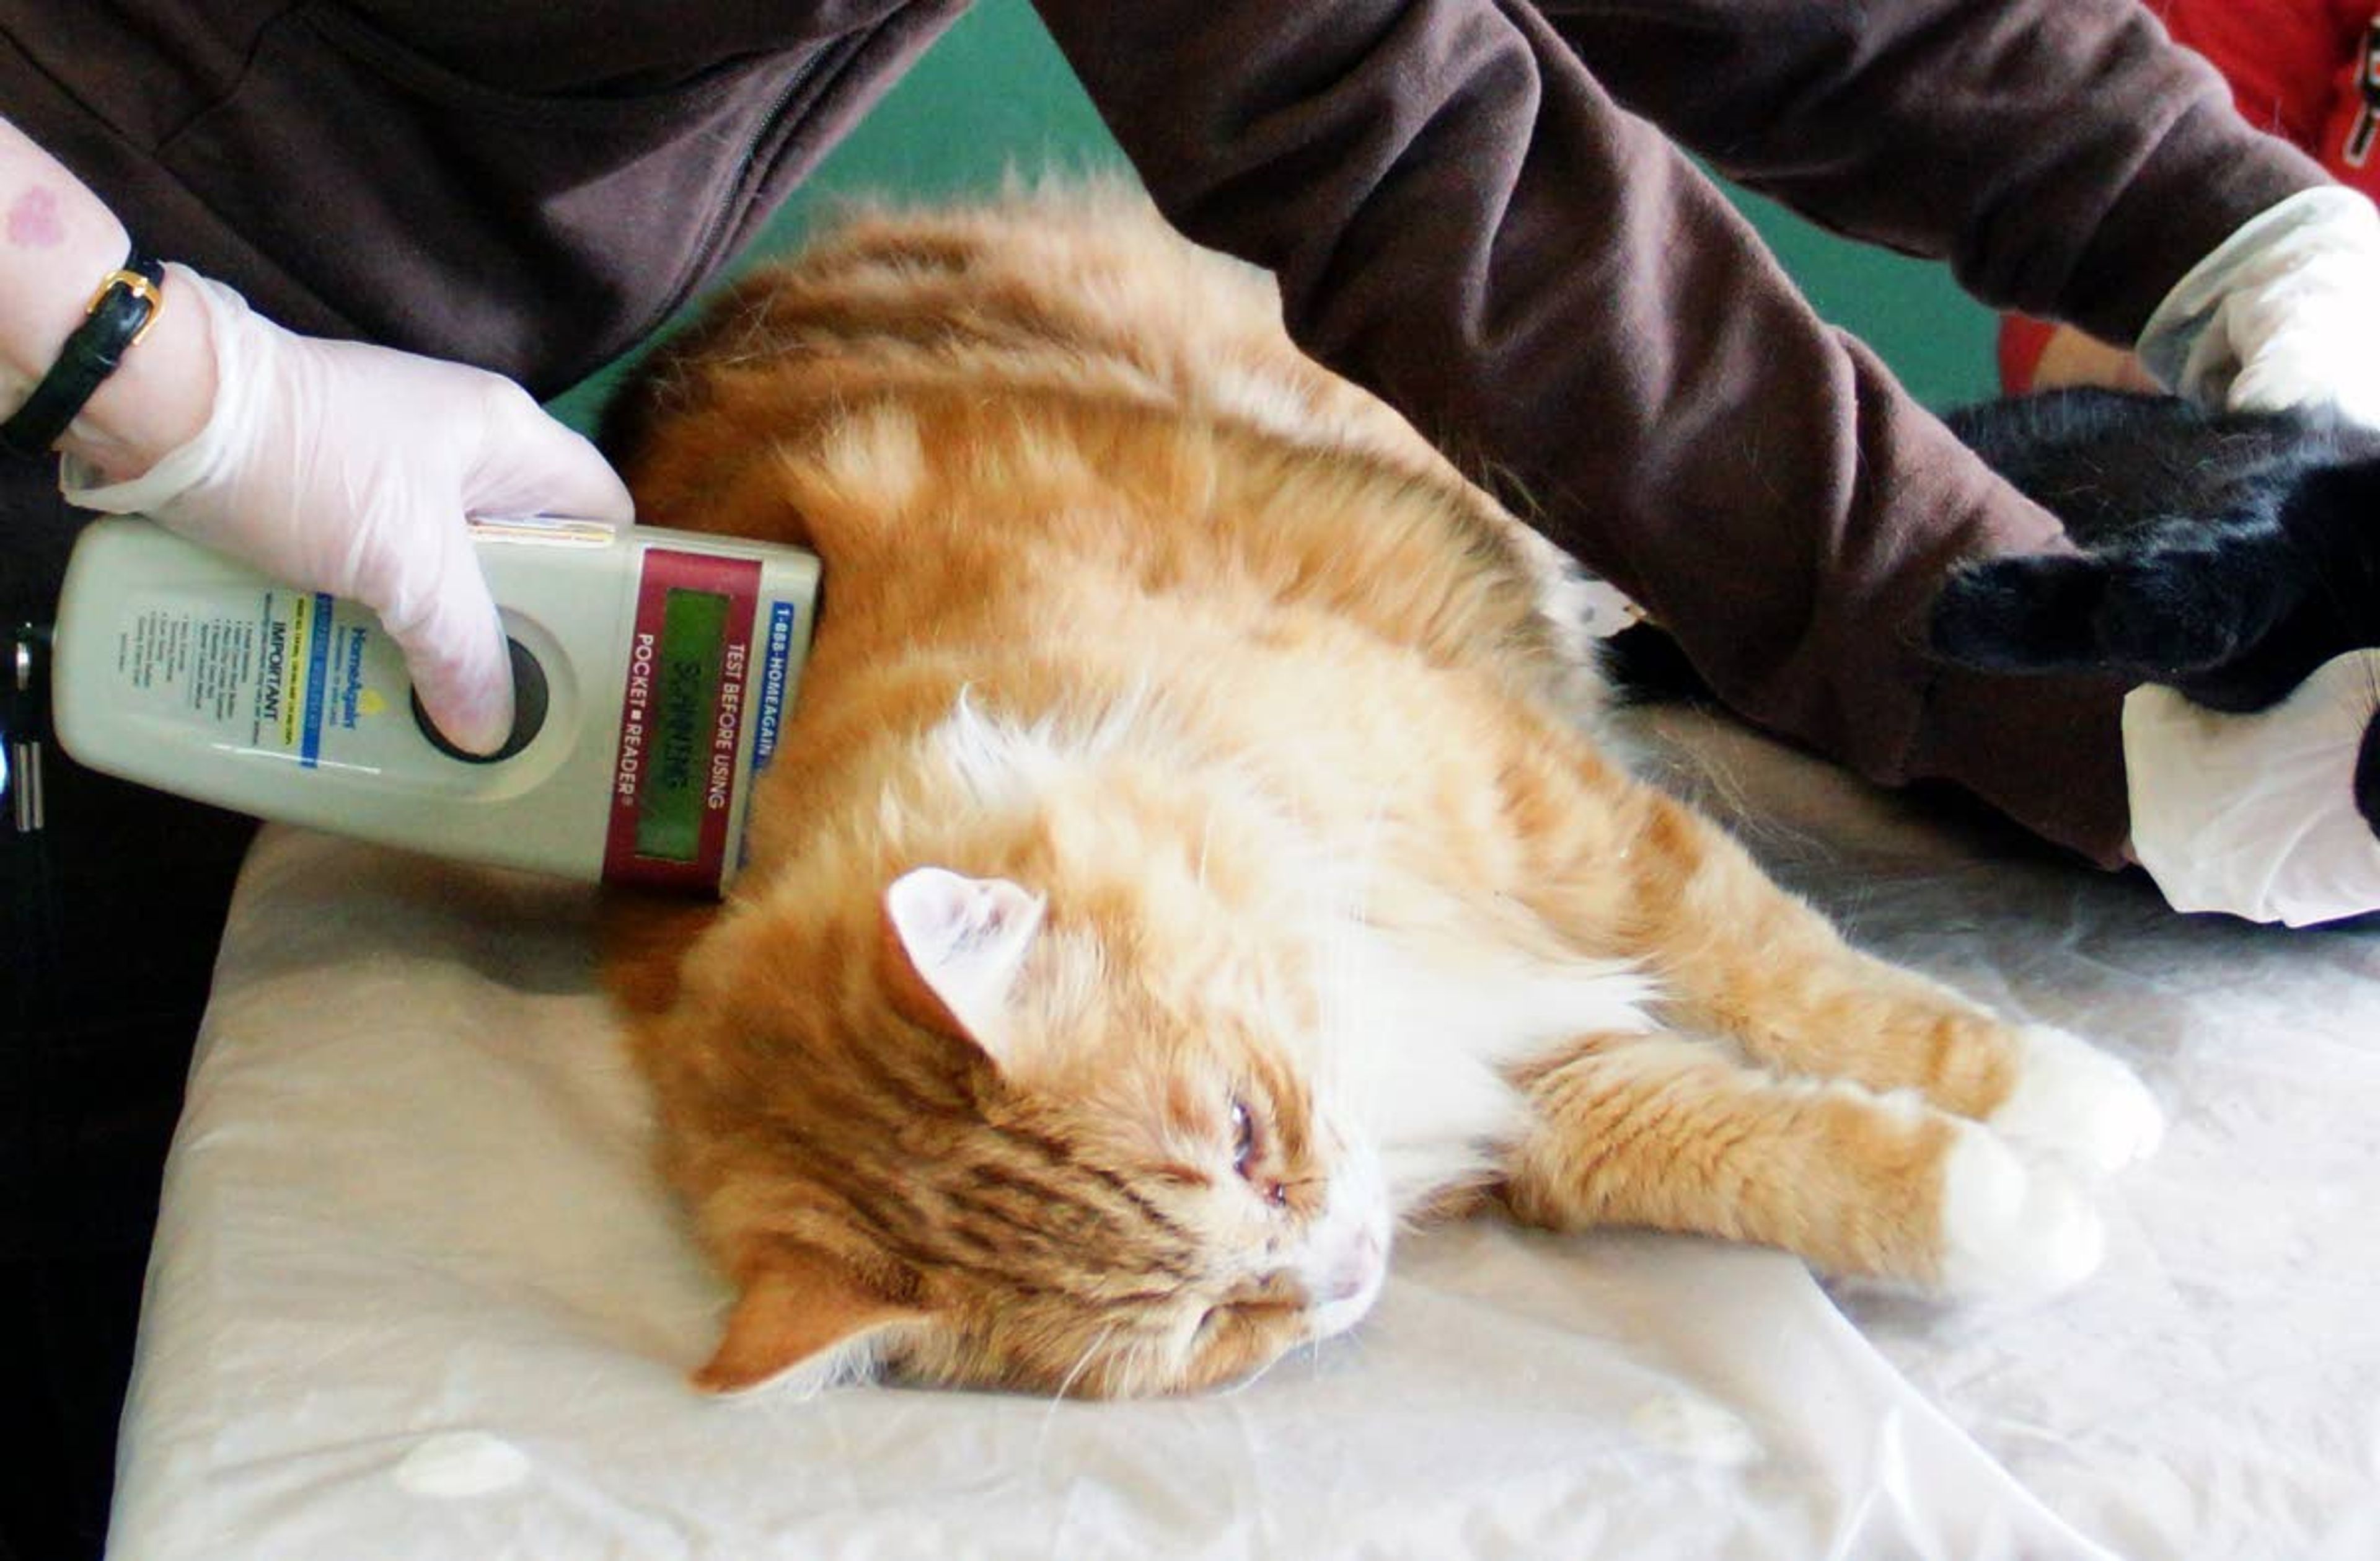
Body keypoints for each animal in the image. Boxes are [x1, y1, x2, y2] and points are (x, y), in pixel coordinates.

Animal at [595, 185, 2161, 1399]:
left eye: (1243, 1135)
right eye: (1207, 1320)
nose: (1344, 1270)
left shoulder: (1572, 832)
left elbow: (1823, 992)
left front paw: (2070, 1099)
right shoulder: (1539, 1078)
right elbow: (1763, 1151)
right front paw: (2021, 1212)